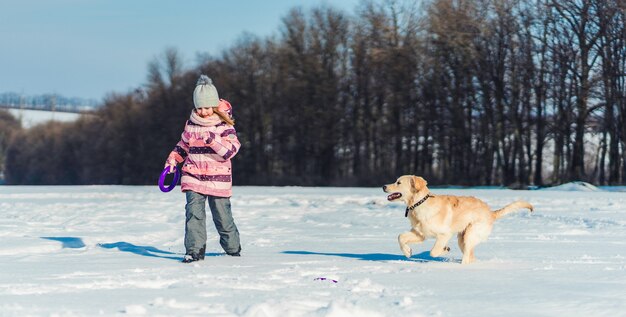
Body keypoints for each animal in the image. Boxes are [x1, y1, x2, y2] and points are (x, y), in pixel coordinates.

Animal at [380, 174, 532, 262]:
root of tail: (490, 212)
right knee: (471, 256)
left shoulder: (444, 234)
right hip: (462, 238)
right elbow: (400, 236)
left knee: (467, 256)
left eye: (398, 183)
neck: (419, 203)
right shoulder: (420, 233)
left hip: (469, 234)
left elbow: (433, 252)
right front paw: (407, 252)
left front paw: (444, 249)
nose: (383, 186)